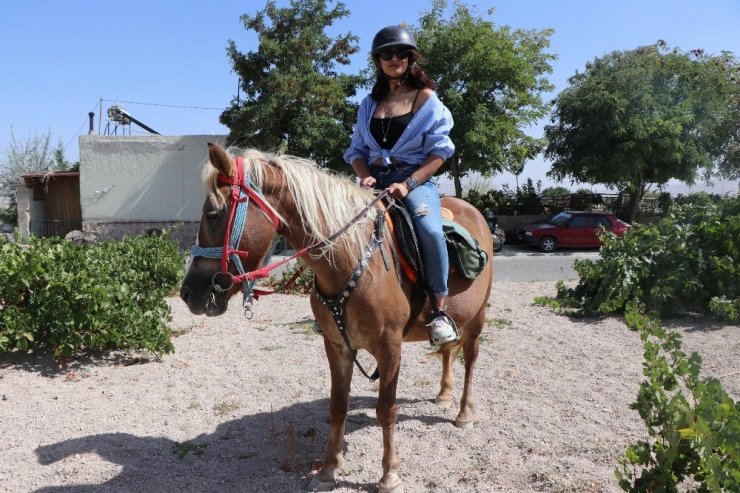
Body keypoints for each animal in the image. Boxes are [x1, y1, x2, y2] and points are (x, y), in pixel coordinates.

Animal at [178, 143, 492, 492]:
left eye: (213, 214)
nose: (188, 292)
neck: (352, 259)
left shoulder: (390, 348)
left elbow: (387, 409)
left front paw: (389, 475)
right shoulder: (337, 345)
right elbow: (338, 405)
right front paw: (329, 469)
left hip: (478, 317)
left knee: (470, 357)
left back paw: (464, 413)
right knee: (448, 350)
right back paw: (444, 395)